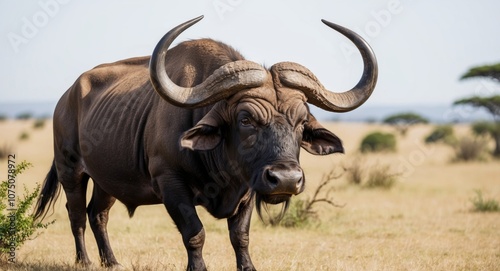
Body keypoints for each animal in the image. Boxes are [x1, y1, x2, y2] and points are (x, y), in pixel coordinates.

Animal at [34, 15, 376, 271]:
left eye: (302, 122)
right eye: (245, 119)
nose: (286, 179)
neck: (220, 165)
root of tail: (67, 97)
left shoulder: (248, 188)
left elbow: (240, 236)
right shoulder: (170, 184)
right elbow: (194, 233)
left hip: (108, 180)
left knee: (98, 214)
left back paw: (112, 262)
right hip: (71, 170)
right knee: (76, 214)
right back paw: (85, 261)